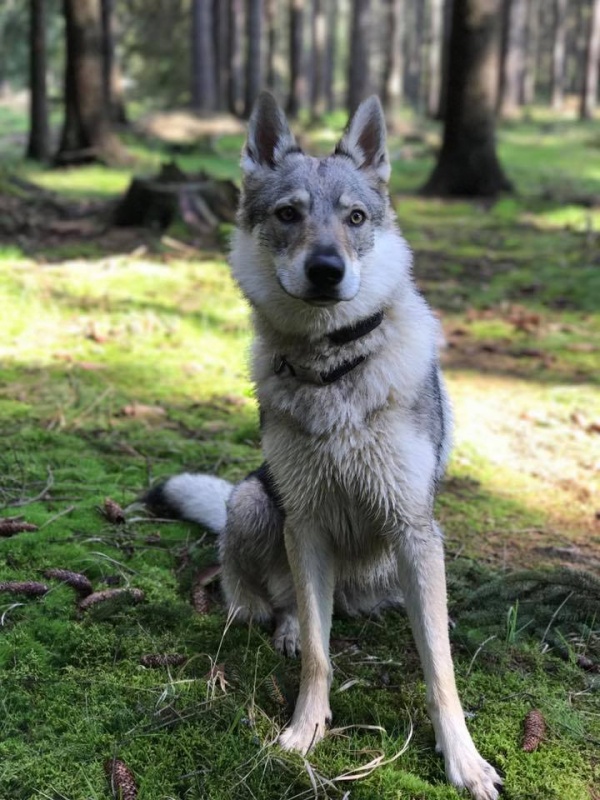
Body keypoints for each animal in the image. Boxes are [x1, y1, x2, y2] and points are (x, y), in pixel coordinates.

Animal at [145, 92, 502, 800]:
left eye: (355, 218)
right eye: (289, 214)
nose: (327, 269)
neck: (331, 364)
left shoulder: (413, 528)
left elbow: (439, 668)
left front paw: (463, 760)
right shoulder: (306, 524)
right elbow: (317, 652)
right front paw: (304, 733)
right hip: (255, 502)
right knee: (271, 601)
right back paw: (275, 623)